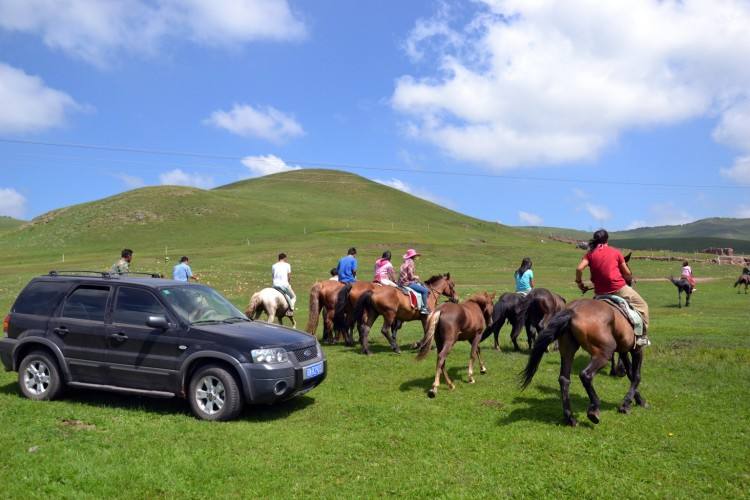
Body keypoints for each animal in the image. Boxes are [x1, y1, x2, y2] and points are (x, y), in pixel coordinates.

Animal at [520, 298, 648, 428]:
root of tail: (573, 310)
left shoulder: (623, 351)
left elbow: (631, 374)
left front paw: (638, 400)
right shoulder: (636, 349)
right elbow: (636, 376)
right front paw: (626, 404)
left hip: (568, 349)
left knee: (564, 379)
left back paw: (570, 418)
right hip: (604, 353)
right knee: (586, 375)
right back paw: (593, 410)